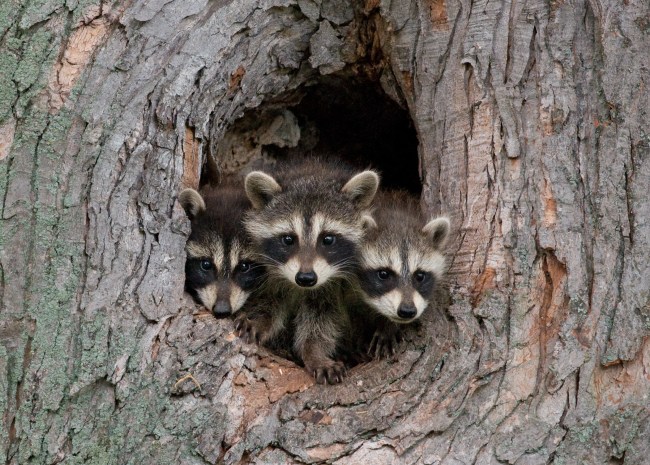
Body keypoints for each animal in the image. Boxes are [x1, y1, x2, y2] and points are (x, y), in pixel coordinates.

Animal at [238, 158, 379, 384]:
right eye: (288, 239)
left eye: (328, 239)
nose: (305, 278)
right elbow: (269, 300)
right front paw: (259, 319)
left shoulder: (331, 286)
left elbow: (321, 320)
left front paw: (315, 353)